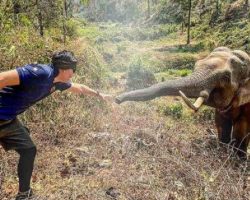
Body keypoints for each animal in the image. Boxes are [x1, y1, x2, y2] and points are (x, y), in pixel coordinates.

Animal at [116, 47, 250, 159]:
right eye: (196, 65)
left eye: (226, 77)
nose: (117, 99)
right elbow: (221, 122)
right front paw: (223, 153)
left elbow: (242, 128)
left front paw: (236, 161)